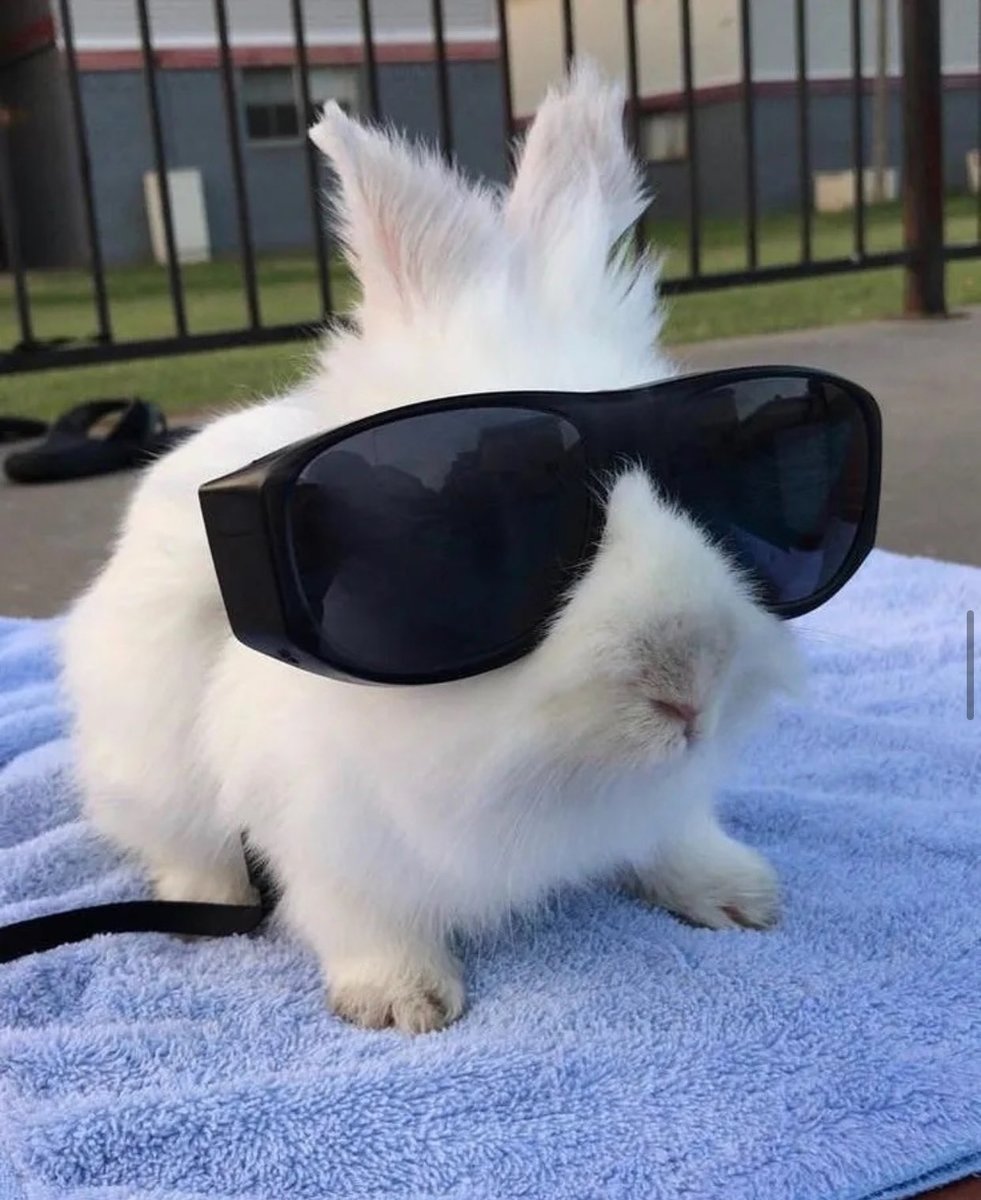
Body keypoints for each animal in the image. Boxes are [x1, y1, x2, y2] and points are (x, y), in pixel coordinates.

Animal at [61, 63, 801, 1032]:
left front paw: (736, 894)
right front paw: (402, 999)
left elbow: (667, 834)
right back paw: (208, 902)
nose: (689, 688)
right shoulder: (324, 828)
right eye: (481, 522)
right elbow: (354, 910)